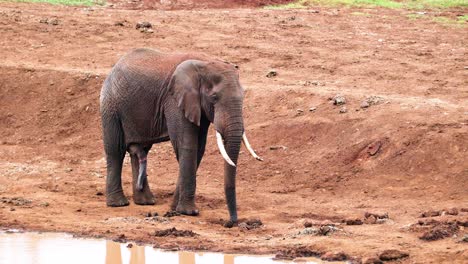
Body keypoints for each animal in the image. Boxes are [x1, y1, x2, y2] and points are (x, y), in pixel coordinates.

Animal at [100, 48, 262, 223]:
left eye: (243, 96)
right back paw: (118, 204)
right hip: (110, 105)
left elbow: (199, 148)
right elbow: (187, 145)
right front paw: (189, 212)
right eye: (214, 98)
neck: (205, 64)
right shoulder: (174, 100)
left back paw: (145, 202)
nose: (231, 222)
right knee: (115, 150)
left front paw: (174, 208)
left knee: (140, 151)